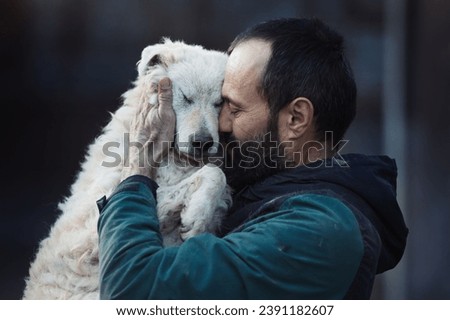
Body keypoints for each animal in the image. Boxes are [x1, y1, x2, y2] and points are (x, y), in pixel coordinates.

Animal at [22, 40, 230, 300]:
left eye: (220, 103)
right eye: (185, 97)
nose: (202, 142)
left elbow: (214, 176)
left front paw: (198, 216)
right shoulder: (87, 237)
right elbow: (210, 174)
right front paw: (195, 218)